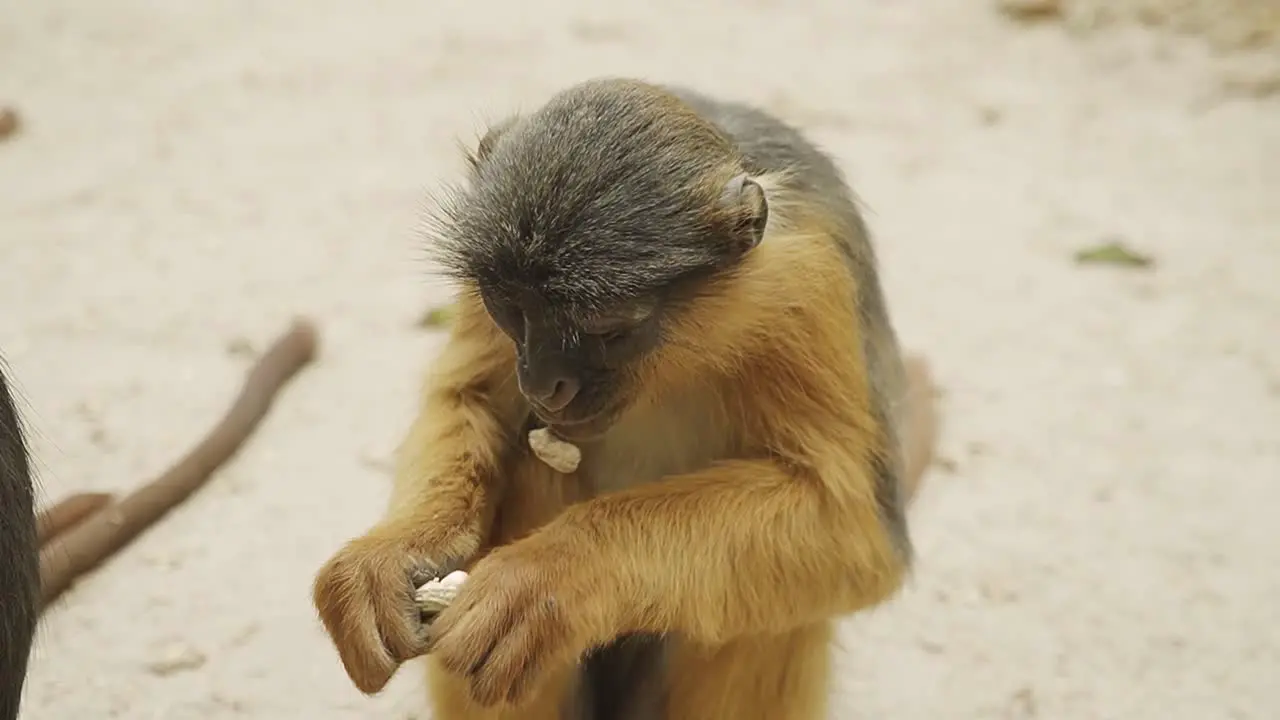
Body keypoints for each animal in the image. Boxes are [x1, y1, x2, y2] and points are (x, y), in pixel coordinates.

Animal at [313, 78, 942, 717]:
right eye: (511, 310)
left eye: (609, 330)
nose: (543, 384)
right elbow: (471, 398)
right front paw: (395, 552)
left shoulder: (806, 280)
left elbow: (852, 530)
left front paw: (552, 577)